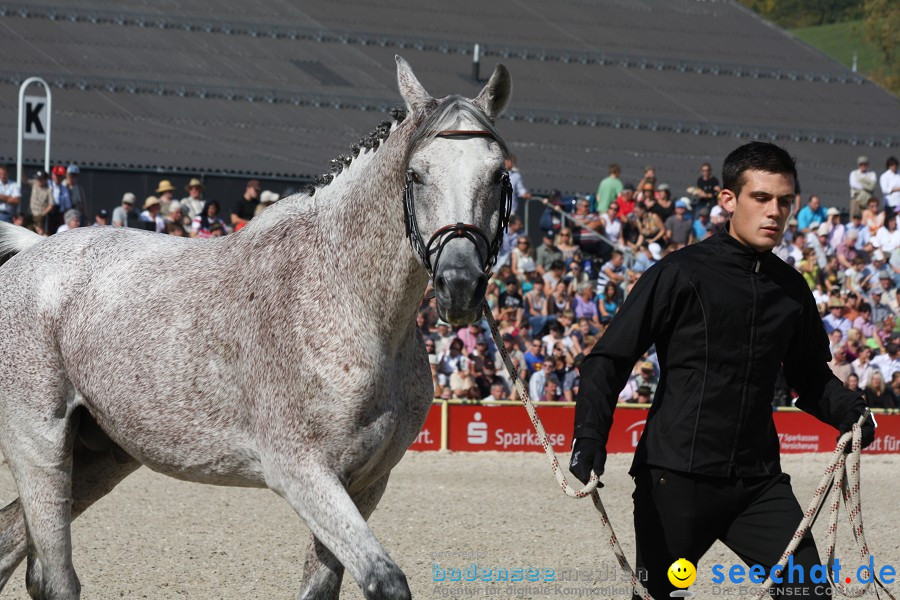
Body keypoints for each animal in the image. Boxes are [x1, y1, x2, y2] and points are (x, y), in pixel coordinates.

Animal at [0, 57, 510, 600]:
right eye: (415, 175)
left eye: (499, 174)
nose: (460, 284)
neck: (343, 295)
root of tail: (32, 251)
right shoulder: (302, 473)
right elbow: (385, 580)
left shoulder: (365, 482)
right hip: (40, 447)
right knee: (55, 577)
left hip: (102, 456)